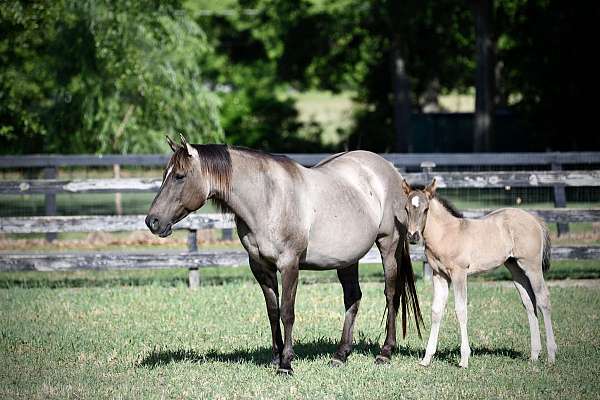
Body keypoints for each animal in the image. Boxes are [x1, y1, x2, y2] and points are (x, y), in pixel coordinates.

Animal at [145, 136, 422, 374]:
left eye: (179, 176)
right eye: (165, 175)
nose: (152, 221)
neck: (268, 198)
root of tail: (391, 170)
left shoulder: (289, 264)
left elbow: (288, 311)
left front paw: (286, 363)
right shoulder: (261, 267)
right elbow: (273, 311)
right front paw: (276, 357)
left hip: (388, 245)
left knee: (391, 295)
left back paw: (385, 352)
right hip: (347, 259)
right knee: (353, 298)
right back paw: (340, 355)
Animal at [404, 180, 556, 368]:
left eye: (426, 209)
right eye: (406, 209)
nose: (413, 236)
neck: (446, 234)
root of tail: (534, 219)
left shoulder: (459, 274)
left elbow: (461, 310)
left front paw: (464, 359)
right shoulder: (439, 275)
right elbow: (436, 311)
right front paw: (426, 358)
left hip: (532, 266)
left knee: (543, 299)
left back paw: (551, 356)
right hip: (516, 268)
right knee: (529, 302)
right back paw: (534, 355)